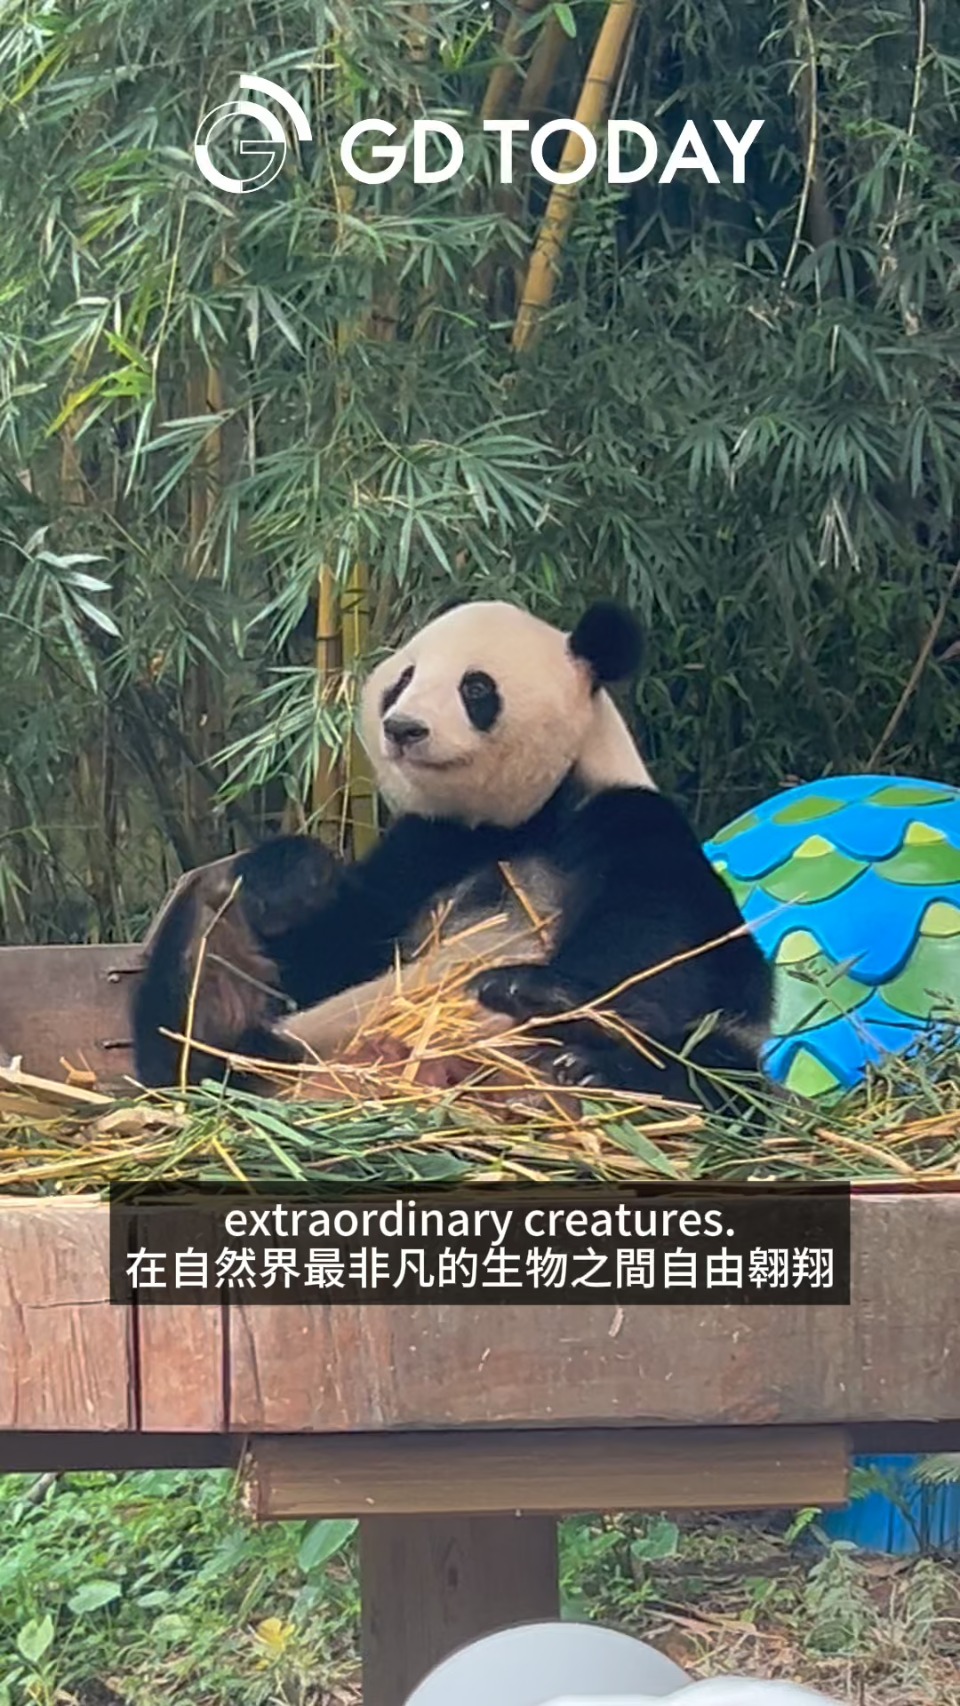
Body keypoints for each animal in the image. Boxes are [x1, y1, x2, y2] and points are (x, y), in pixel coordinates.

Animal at [131, 600, 774, 1105]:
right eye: (403, 680)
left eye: (476, 687)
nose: (402, 728)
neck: (517, 820)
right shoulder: (429, 847)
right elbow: (331, 952)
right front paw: (292, 879)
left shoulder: (623, 816)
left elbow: (670, 937)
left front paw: (535, 991)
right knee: (194, 1043)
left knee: (718, 1067)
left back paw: (589, 1068)